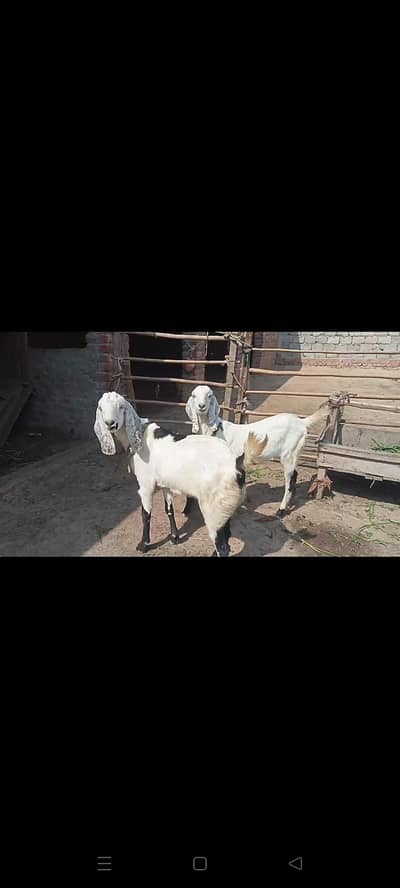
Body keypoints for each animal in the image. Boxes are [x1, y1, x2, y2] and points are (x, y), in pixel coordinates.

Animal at [94, 391, 267, 556]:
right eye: (101, 408)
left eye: (121, 407)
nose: (111, 424)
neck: (141, 437)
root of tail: (236, 465)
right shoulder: (166, 484)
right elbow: (168, 509)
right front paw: (174, 536)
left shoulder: (145, 486)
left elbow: (146, 514)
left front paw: (144, 545)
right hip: (224, 508)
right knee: (227, 537)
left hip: (213, 509)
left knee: (222, 546)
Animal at [186, 385, 331, 516]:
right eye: (193, 395)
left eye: (209, 395)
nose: (201, 406)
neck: (215, 431)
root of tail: (302, 422)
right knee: (295, 475)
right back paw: (288, 505)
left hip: (289, 454)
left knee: (289, 480)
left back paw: (281, 510)